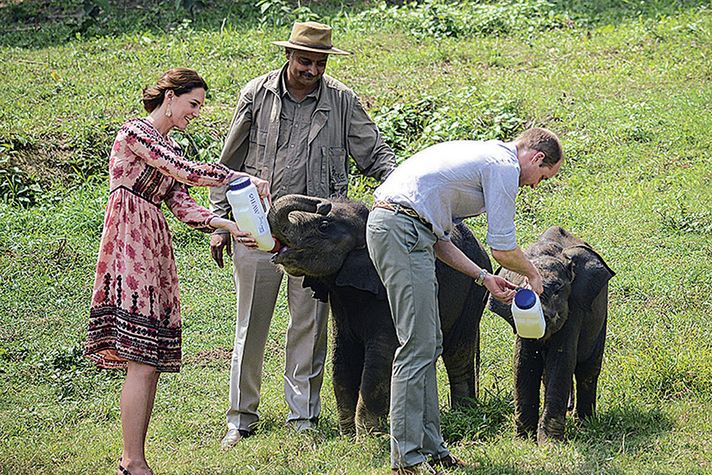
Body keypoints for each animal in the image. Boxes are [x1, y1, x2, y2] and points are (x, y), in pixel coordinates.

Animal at [268, 194, 490, 436]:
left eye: (324, 226)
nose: (321, 203)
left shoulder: (388, 292)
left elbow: (378, 362)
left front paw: (368, 437)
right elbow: (342, 360)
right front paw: (348, 436)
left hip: (472, 295)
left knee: (457, 351)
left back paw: (462, 412)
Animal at [486, 226, 616, 442]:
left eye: (557, 290)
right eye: (520, 290)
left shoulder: (575, 305)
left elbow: (561, 359)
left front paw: (549, 443)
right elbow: (523, 362)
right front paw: (524, 440)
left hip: (601, 317)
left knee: (587, 369)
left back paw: (585, 424)